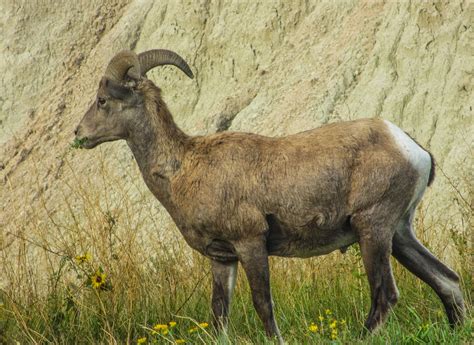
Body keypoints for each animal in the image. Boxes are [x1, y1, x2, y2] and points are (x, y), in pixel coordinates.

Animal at [74, 49, 462, 342]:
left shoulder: (251, 244)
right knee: (448, 281)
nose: (79, 134)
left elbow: (263, 306)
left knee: (385, 295)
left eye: (103, 100)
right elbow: (219, 314)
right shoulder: (223, 258)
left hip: (374, 230)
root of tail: (412, 147)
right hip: (400, 234)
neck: (184, 168)